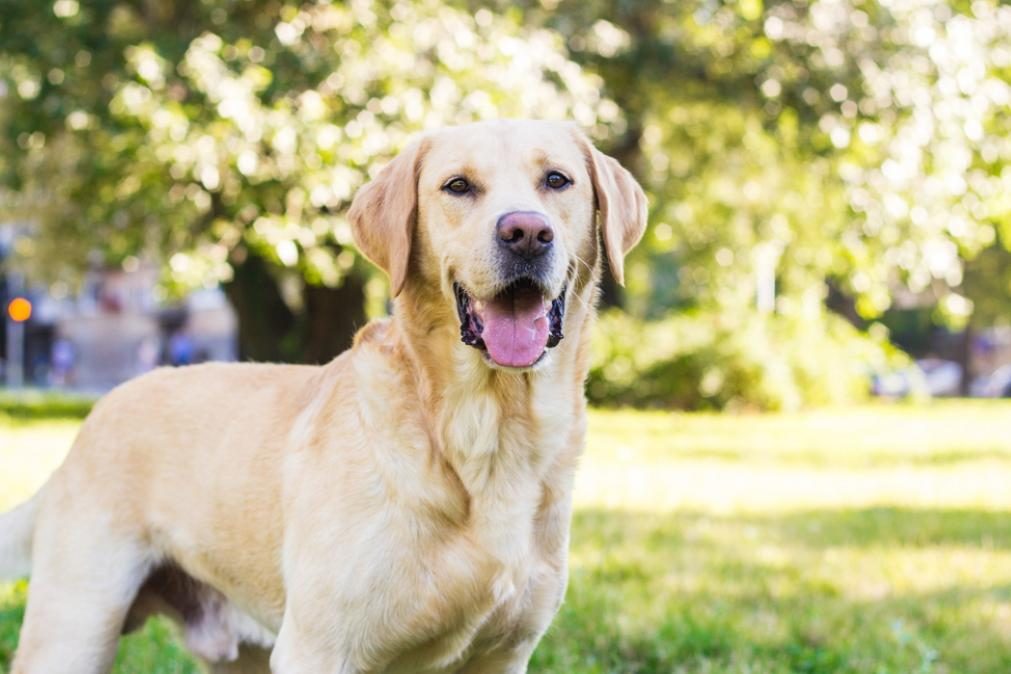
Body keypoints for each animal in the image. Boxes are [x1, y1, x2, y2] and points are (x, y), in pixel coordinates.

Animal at [0, 121, 647, 674]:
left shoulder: (504, 655)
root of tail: (92, 419)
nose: (527, 233)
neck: (486, 433)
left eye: (557, 180)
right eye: (458, 186)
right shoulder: (320, 648)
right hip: (75, 627)